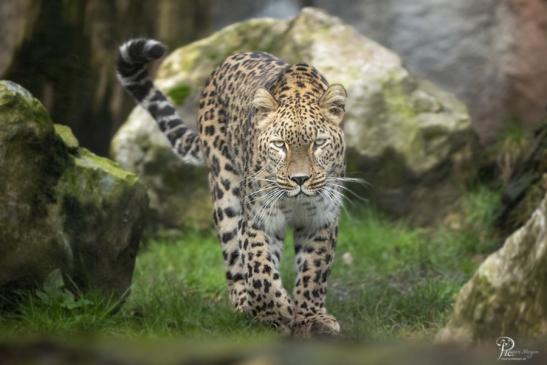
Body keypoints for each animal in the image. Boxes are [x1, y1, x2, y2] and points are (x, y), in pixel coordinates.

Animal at [119, 37, 352, 336]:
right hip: (225, 191)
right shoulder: (258, 220)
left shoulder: (321, 220)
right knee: (235, 259)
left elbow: (314, 272)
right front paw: (277, 311)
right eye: (280, 145)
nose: (300, 179)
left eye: (318, 144)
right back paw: (246, 305)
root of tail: (226, 61)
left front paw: (311, 318)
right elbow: (260, 268)